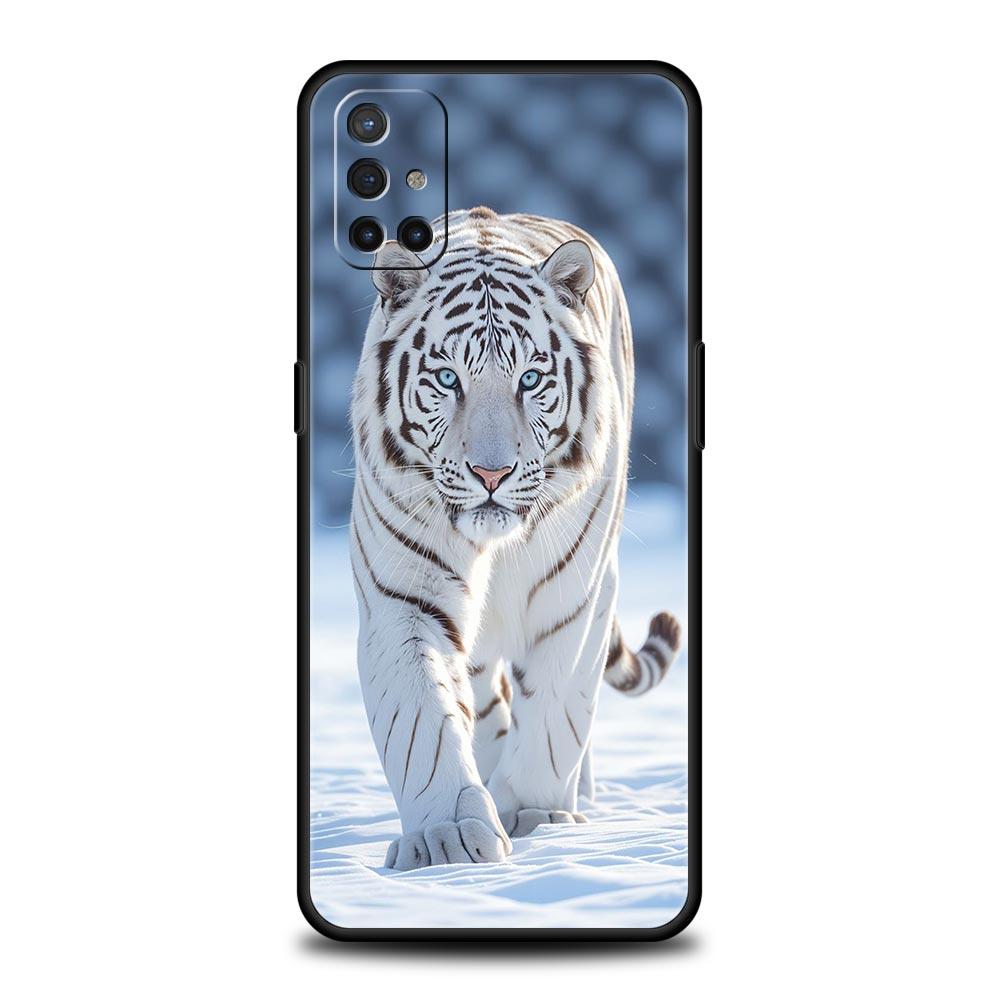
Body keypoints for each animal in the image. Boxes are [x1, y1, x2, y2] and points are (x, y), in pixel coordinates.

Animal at [349, 207, 682, 871]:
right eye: (447, 378)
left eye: (530, 378)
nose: (491, 474)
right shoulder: (404, 601)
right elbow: (423, 724)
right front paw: (447, 838)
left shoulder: (574, 598)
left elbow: (555, 713)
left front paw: (536, 816)